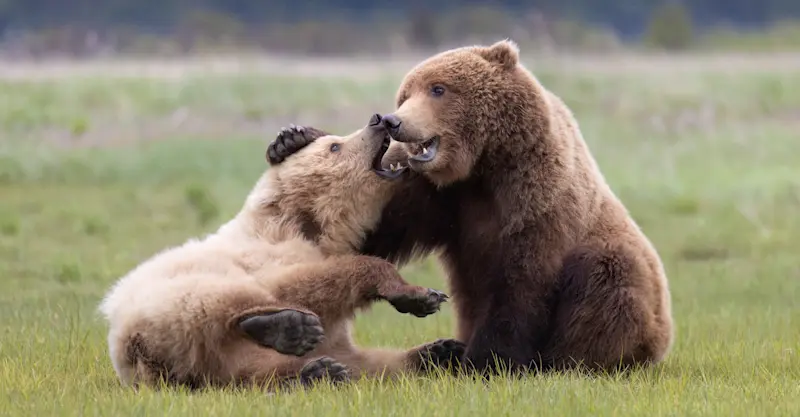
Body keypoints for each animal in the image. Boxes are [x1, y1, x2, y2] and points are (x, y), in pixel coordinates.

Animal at [97, 114, 465, 392]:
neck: (312, 226)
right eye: (335, 145)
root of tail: (128, 352)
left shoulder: (337, 333)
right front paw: (418, 295)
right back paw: (289, 329)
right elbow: (308, 280)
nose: (378, 121)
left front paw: (439, 342)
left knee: (248, 373)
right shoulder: (267, 254)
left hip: (208, 359)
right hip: (169, 300)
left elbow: (367, 361)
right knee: (223, 305)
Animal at [287, 40, 675, 375]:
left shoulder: (536, 203)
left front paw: (486, 362)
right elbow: (372, 232)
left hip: (633, 290)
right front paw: (293, 138)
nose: (393, 120)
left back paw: (569, 360)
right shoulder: (435, 196)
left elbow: (519, 284)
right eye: (406, 93)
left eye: (438, 89)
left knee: (606, 279)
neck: (482, 167)